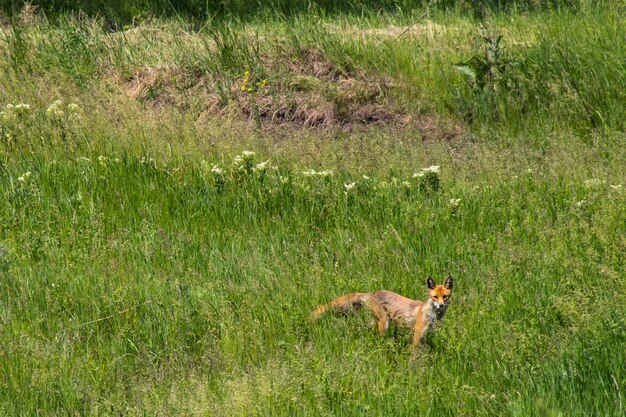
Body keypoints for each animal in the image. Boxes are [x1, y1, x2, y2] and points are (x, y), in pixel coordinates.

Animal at [308, 274, 450, 346]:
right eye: (435, 297)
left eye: (445, 296)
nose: (441, 305)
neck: (431, 315)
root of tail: (373, 293)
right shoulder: (417, 334)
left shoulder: (425, 335)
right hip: (384, 324)